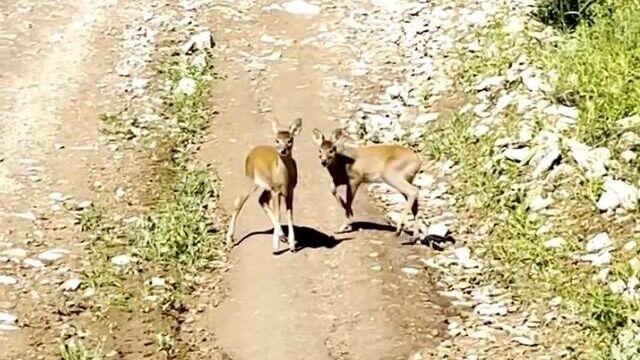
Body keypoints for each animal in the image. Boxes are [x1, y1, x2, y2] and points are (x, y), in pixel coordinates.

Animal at [226, 117, 304, 253]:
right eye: (277, 140)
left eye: (290, 140)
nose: (283, 150)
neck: (284, 179)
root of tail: (251, 152)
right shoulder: (276, 190)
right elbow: (278, 215)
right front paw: (276, 247)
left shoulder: (290, 190)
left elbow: (289, 216)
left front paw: (292, 245)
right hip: (250, 179)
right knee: (238, 202)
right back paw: (229, 240)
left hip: (267, 186)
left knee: (261, 200)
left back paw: (282, 236)